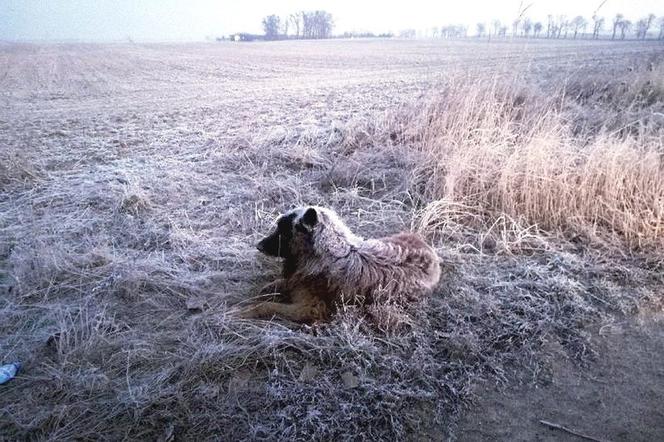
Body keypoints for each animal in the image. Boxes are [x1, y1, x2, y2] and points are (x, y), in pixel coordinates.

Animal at [240, 205, 440, 322]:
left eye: (283, 231)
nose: (258, 246)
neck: (325, 254)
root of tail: (432, 254)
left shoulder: (309, 309)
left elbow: (265, 305)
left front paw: (241, 312)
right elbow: (276, 286)